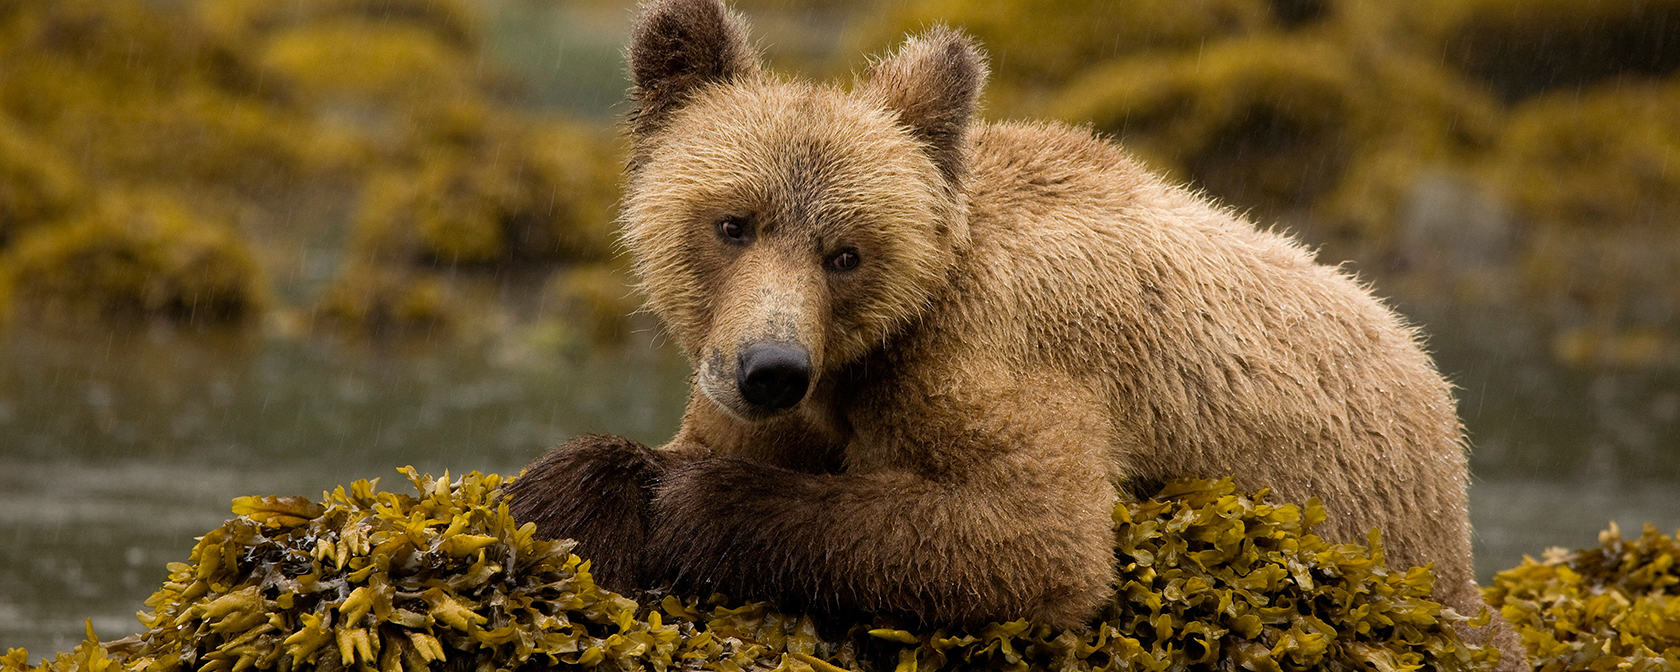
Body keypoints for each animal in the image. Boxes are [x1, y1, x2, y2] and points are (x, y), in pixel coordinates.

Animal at [503, 2, 1532, 668]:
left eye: (846, 252)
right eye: (733, 223)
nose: (771, 369)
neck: (871, 350)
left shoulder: (1000, 350)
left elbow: (1032, 537)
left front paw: (685, 503)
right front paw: (571, 491)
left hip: (1393, 553)